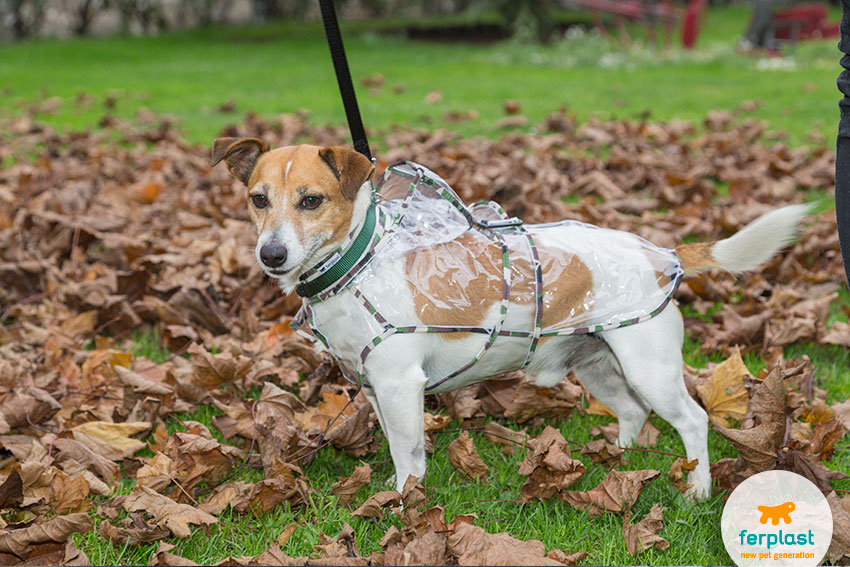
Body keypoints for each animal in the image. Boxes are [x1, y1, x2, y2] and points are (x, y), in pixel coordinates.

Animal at [212, 139, 808, 502]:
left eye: (311, 200)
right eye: (258, 199)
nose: (271, 254)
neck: (358, 260)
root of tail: (661, 253)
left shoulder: (400, 384)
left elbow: (409, 454)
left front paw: (404, 503)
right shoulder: (377, 389)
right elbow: (399, 448)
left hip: (651, 368)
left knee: (693, 421)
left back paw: (698, 488)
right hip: (598, 365)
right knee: (633, 413)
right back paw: (619, 461)